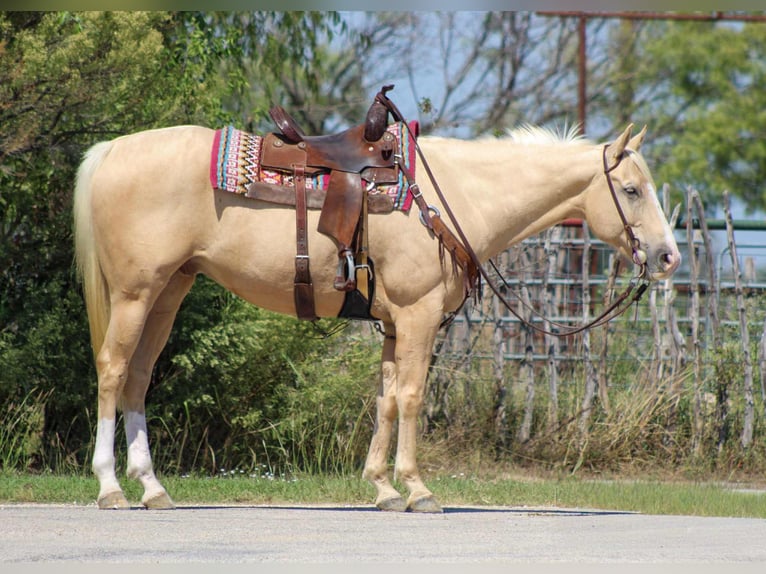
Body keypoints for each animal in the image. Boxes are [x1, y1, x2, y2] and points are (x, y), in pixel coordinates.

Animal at [73, 120, 680, 513]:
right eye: (631, 189)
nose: (668, 257)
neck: (452, 196)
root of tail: (110, 151)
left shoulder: (393, 323)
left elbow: (386, 399)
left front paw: (383, 488)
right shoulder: (417, 315)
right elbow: (411, 396)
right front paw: (418, 489)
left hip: (169, 291)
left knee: (138, 378)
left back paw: (152, 488)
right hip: (134, 293)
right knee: (112, 371)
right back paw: (110, 488)